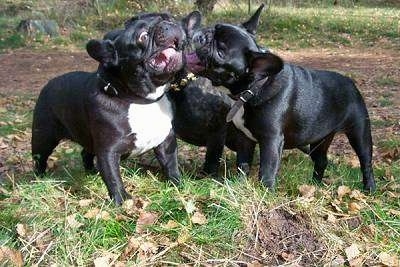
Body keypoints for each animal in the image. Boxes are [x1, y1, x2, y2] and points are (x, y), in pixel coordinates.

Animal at [32, 12, 200, 205]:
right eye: (142, 36)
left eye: (170, 18)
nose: (167, 24)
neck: (141, 100)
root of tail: (48, 83)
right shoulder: (108, 151)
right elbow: (113, 177)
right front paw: (123, 201)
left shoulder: (166, 141)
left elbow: (171, 164)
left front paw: (177, 184)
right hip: (43, 137)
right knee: (40, 158)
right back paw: (39, 178)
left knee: (86, 153)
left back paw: (91, 172)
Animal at [186, 4, 376, 193]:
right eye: (215, 27)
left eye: (220, 51)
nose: (204, 34)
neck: (254, 87)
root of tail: (350, 82)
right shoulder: (245, 139)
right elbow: (243, 163)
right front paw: (239, 184)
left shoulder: (271, 140)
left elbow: (267, 170)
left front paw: (266, 192)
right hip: (319, 139)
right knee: (321, 160)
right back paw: (315, 184)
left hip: (359, 132)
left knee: (366, 162)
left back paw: (370, 188)